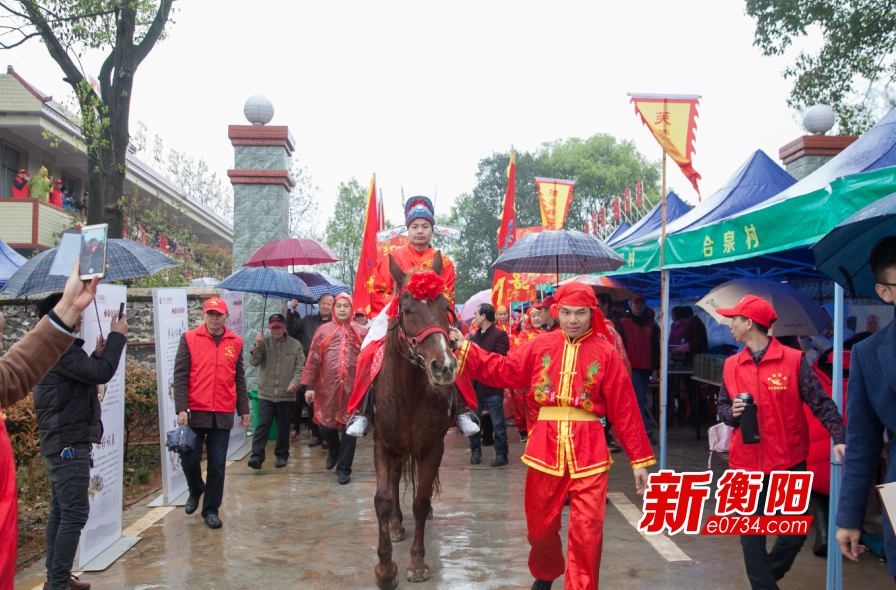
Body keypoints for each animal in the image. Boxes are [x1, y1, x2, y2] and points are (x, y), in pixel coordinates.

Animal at [372, 252, 458, 588]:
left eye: (445, 307)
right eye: (407, 310)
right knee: (396, 480)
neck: (408, 394)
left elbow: (420, 502)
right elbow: (383, 499)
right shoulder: (383, 445)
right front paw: (385, 569)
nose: (443, 366)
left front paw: (418, 562)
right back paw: (396, 525)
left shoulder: (433, 447)